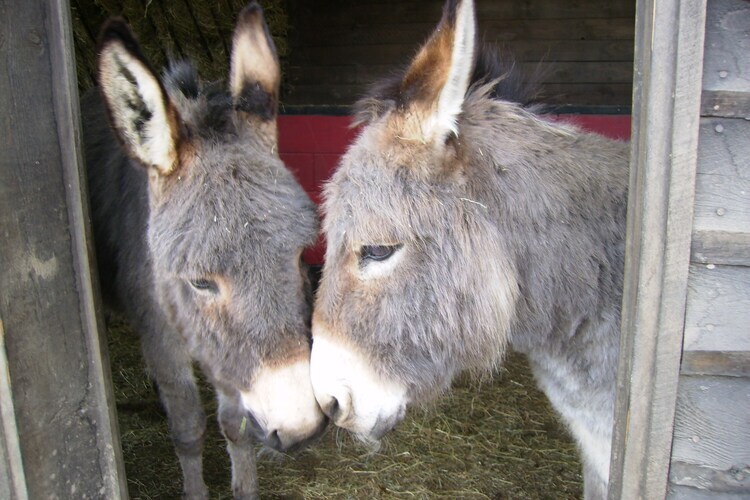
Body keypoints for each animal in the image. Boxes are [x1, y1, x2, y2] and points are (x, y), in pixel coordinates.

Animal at [81, 3, 325, 498]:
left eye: (298, 255)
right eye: (199, 282)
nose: (301, 429)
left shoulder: (226, 352)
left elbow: (234, 425)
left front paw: (244, 487)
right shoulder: (161, 335)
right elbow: (188, 426)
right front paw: (194, 490)